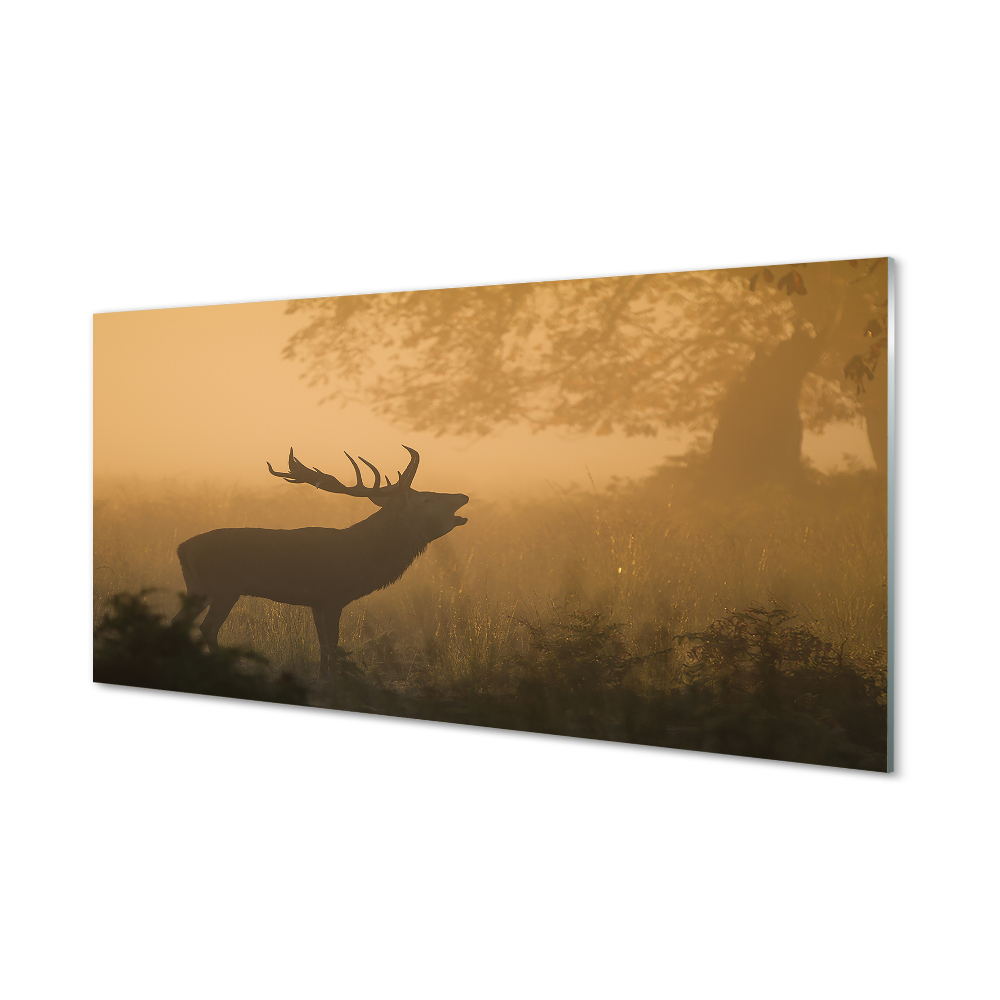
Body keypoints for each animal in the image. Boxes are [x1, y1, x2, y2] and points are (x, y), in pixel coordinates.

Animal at [171, 445, 469, 673]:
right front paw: (336, 679)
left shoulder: (315, 601)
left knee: (178, 621)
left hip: (198, 588)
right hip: (225, 586)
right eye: (426, 499)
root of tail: (182, 549)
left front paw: (325, 675)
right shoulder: (332, 595)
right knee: (208, 627)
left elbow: (322, 643)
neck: (364, 556)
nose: (463, 496)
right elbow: (332, 643)